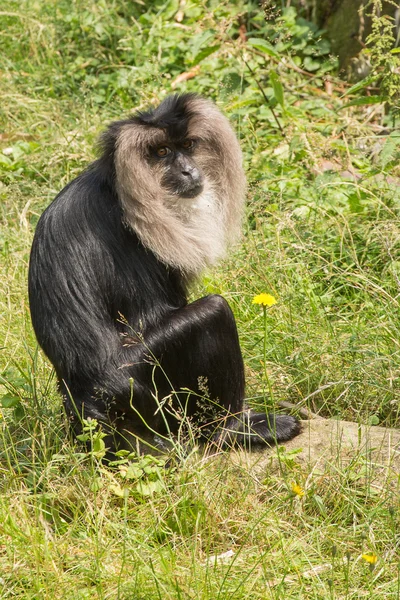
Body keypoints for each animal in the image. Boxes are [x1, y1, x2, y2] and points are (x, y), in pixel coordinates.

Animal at [28, 94, 300, 452]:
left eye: (187, 145)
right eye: (161, 152)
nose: (188, 170)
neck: (119, 195)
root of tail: (86, 406)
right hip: (141, 389)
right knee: (213, 312)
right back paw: (233, 429)